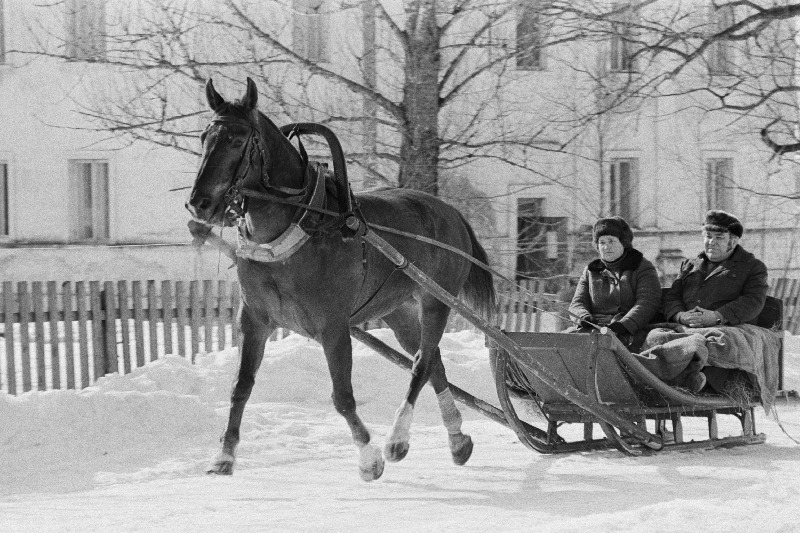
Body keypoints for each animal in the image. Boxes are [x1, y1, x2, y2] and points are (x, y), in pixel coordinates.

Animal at [186, 79, 494, 482]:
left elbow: (343, 397)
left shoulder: (333, 327)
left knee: (422, 364)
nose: (199, 203)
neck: (299, 223)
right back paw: (457, 440)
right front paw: (224, 455)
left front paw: (369, 457)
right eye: (205, 136)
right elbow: (241, 387)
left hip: (436, 300)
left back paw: (398, 438)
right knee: (434, 362)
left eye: (238, 140)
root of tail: (452, 213)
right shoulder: (254, 320)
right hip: (397, 310)